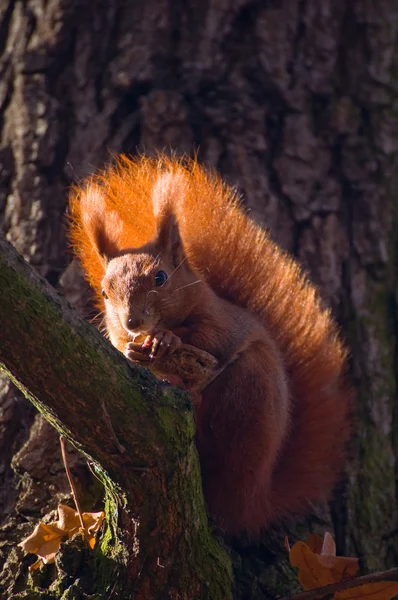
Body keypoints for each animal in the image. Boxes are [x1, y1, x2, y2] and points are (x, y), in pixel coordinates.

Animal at [70, 154, 350, 536]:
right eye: (103, 292)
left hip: (250, 393)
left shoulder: (221, 320)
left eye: (161, 278)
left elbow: (211, 338)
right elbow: (121, 345)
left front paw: (167, 340)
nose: (133, 323)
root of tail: (256, 500)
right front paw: (132, 349)